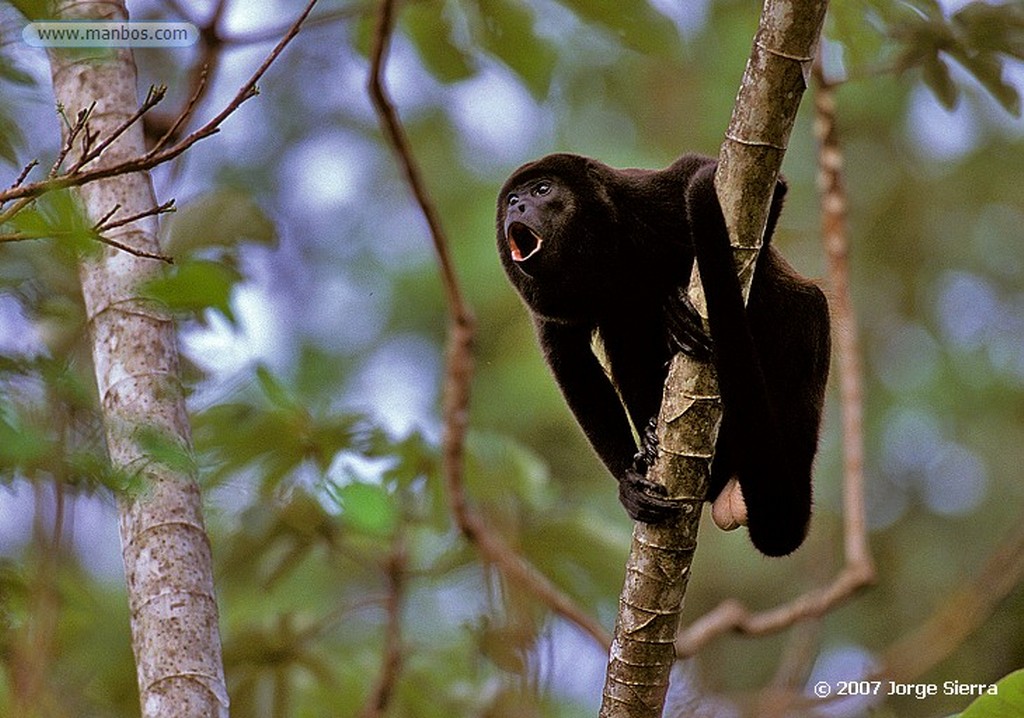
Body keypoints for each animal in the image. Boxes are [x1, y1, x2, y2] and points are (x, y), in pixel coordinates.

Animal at [495, 152, 831, 553]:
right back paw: (655, 433)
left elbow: (769, 196)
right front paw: (630, 482)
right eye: (512, 198)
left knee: (806, 307)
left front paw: (681, 316)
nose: (517, 206)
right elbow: (573, 364)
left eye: (542, 189)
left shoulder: (654, 196)